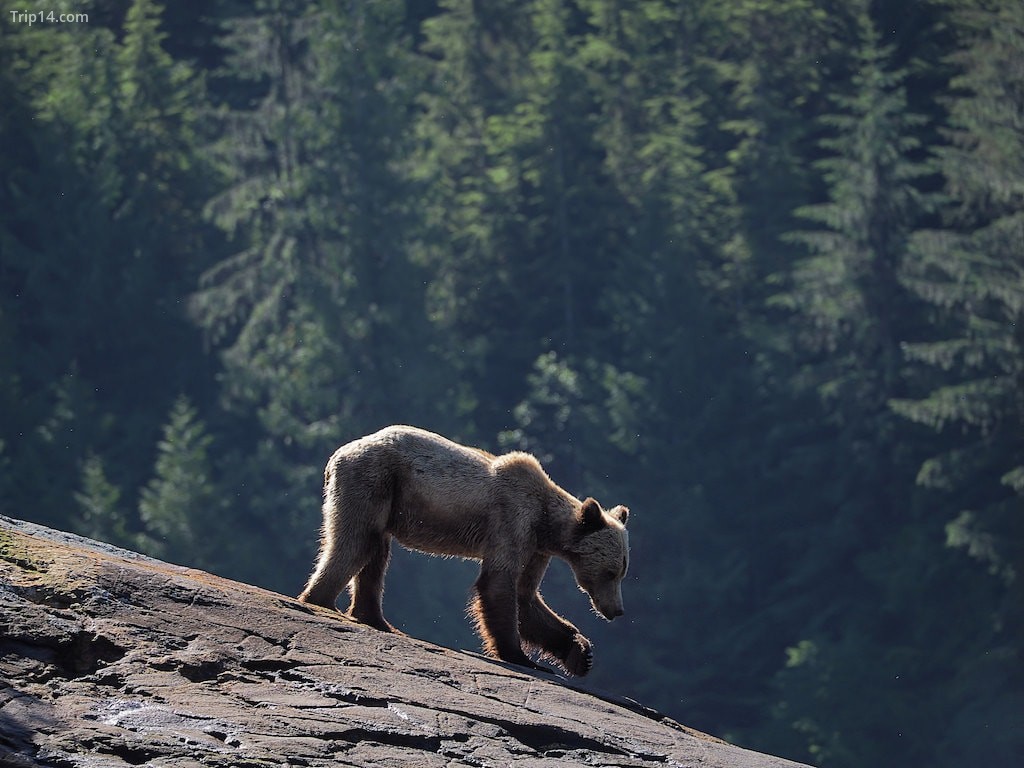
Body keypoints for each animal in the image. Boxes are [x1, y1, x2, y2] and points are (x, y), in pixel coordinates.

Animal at [299, 428, 630, 679]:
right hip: (374, 479)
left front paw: (580, 653)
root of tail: (338, 454)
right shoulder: (512, 521)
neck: (546, 522)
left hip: (388, 496)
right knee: (357, 541)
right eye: (610, 572)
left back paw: (375, 618)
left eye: (622, 572)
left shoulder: (536, 549)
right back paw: (322, 601)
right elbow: (499, 585)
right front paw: (519, 655)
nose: (617, 610)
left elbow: (526, 597)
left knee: (375, 553)